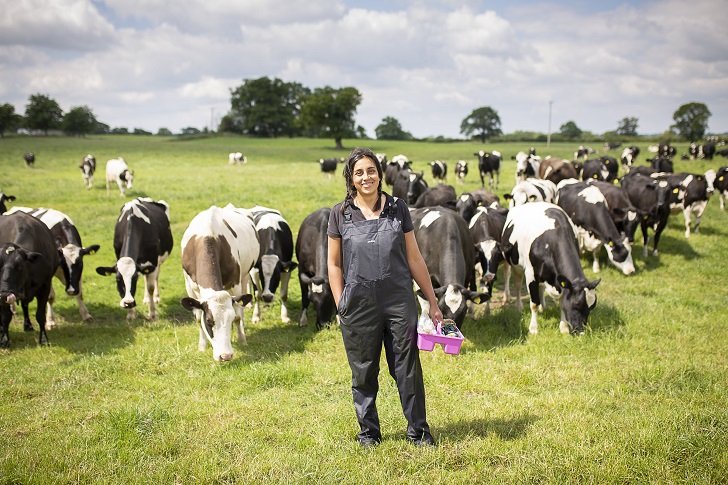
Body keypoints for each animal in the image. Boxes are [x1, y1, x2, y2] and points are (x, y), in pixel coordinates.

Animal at [0, 210, 59, 346]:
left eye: (20, 265)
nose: (5, 293)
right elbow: (6, 316)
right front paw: (5, 339)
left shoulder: (44, 287)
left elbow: (40, 315)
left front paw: (43, 339)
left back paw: (28, 325)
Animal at [179, 203, 258, 360]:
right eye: (209, 321)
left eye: (230, 319)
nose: (225, 356)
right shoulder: (190, 286)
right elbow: (198, 318)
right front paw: (202, 346)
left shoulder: (235, 282)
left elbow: (238, 315)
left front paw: (242, 339)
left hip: (245, 275)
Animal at [500, 202, 604, 334]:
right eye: (577, 303)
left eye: (592, 307)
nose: (581, 332)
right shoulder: (531, 274)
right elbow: (533, 303)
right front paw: (533, 329)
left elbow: (561, 302)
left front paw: (563, 328)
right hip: (516, 265)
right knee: (518, 285)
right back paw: (519, 308)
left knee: (540, 288)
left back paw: (542, 307)